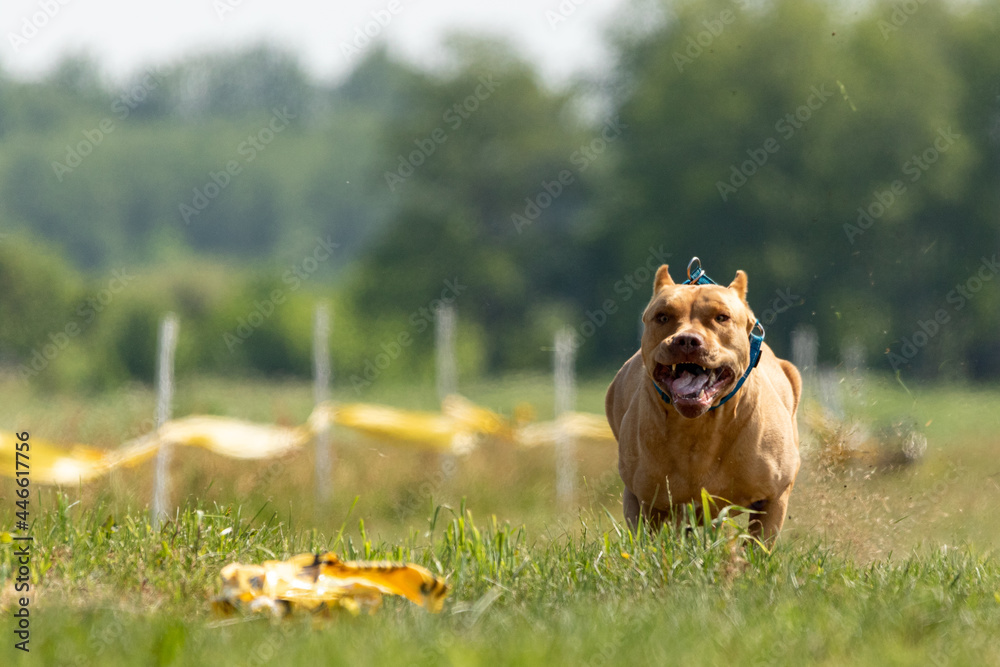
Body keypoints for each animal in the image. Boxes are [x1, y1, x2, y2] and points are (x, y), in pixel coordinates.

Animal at [600, 260, 804, 544]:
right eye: (662, 317)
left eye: (721, 317)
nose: (686, 340)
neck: (699, 426)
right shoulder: (645, 501)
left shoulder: (774, 498)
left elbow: (757, 545)